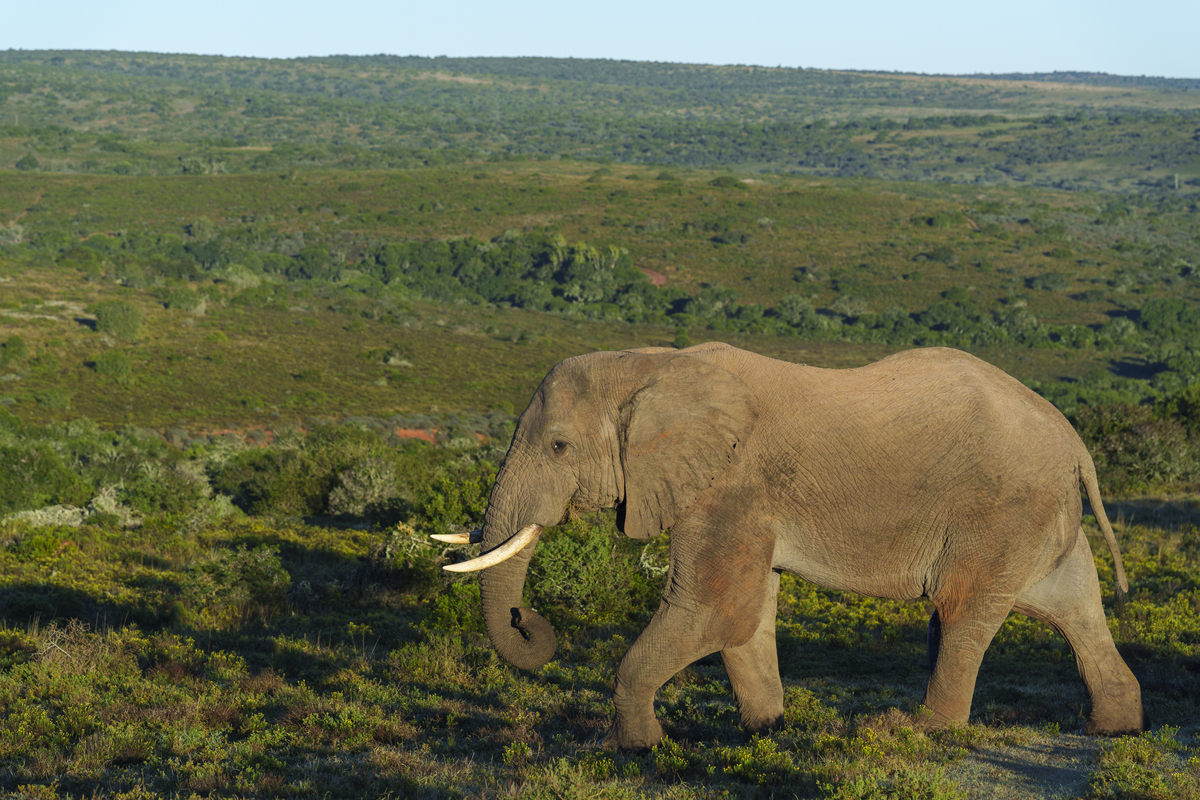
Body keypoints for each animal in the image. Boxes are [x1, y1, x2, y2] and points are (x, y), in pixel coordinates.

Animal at [435, 343, 1145, 749]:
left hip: (1000, 510)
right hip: (1039, 519)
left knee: (961, 612)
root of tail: (1075, 440)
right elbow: (747, 617)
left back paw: (912, 731)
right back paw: (1111, 726)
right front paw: (765, 730)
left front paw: (638, 748)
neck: (650, 364)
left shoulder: (730, 482)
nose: (529, 622)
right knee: (1073, 606)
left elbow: (717, 608)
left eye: (559, 446)